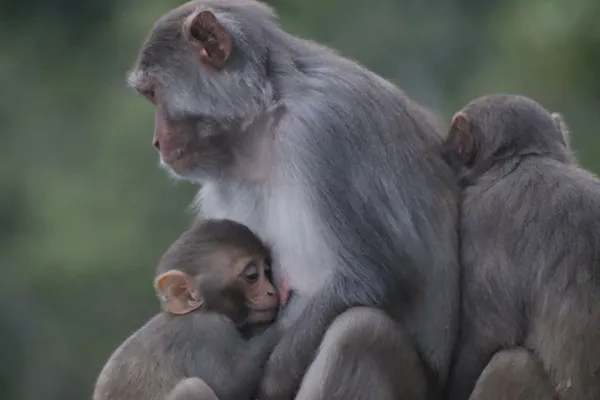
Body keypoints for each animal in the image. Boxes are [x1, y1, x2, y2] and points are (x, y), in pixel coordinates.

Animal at [130, 1, 460, 398]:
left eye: (154, 93)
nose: (157, 142)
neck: (268, 114)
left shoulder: (323, 129)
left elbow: (375, 276)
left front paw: (271, 380)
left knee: (360, 332)